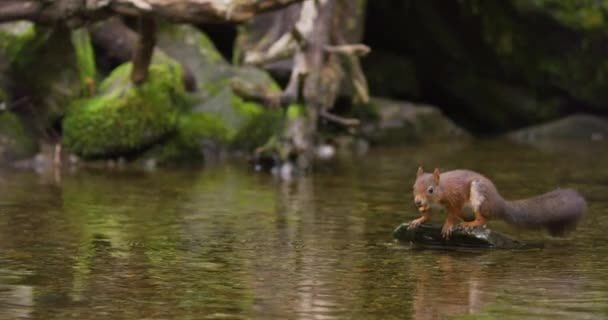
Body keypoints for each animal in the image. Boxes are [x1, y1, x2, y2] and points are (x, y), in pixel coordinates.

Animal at [410, 168, 588, 238]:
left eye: (431, 190)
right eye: (413, 187)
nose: (417, 202)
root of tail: (499, 203)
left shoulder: (455, 198)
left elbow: (451, 212)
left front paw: (447, 225)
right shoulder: (430, 206)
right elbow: (427, 214)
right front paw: (418, 219)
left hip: (480, 198)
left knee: (483, 218)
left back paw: (471, 224)